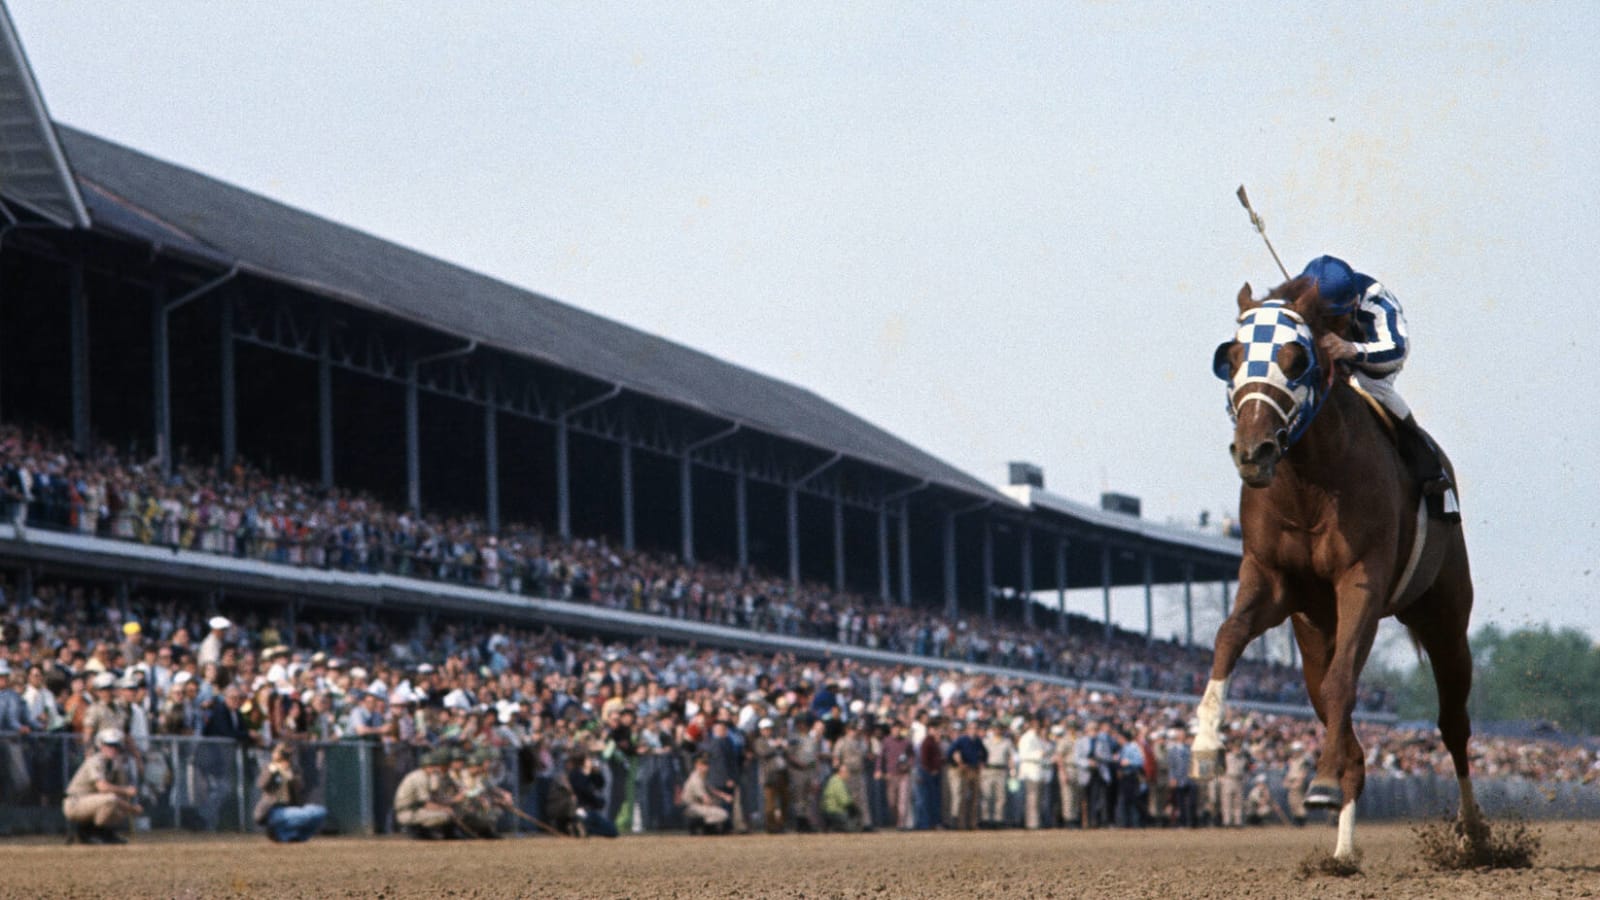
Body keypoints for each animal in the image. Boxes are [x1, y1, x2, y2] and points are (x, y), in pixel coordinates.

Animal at [1196, 277, 1478, 858]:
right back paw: (1343, 848)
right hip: (1312, 633)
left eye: (1295, 357)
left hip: (1444, 616)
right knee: (1334, 709)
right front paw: (1206, 741)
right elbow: (1229, 634)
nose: (1253, 452)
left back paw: (1474, 835)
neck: (1309, 485)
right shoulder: (1272, 579)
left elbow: (1343, 681)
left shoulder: (1360, 578)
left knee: (1453, 723)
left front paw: (1322, 782)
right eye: (1230, 358)